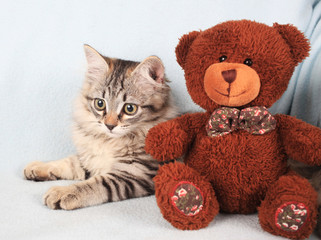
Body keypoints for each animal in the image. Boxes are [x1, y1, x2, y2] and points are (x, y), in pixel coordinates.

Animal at [23, 45, 176, 210]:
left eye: (130, 108)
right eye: (100, 103)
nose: (109, 125)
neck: (108, 141)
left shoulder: (134, 174)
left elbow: (94, 184)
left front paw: (63, 192)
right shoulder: (89, 158)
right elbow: (69, 162)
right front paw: (38, 167)